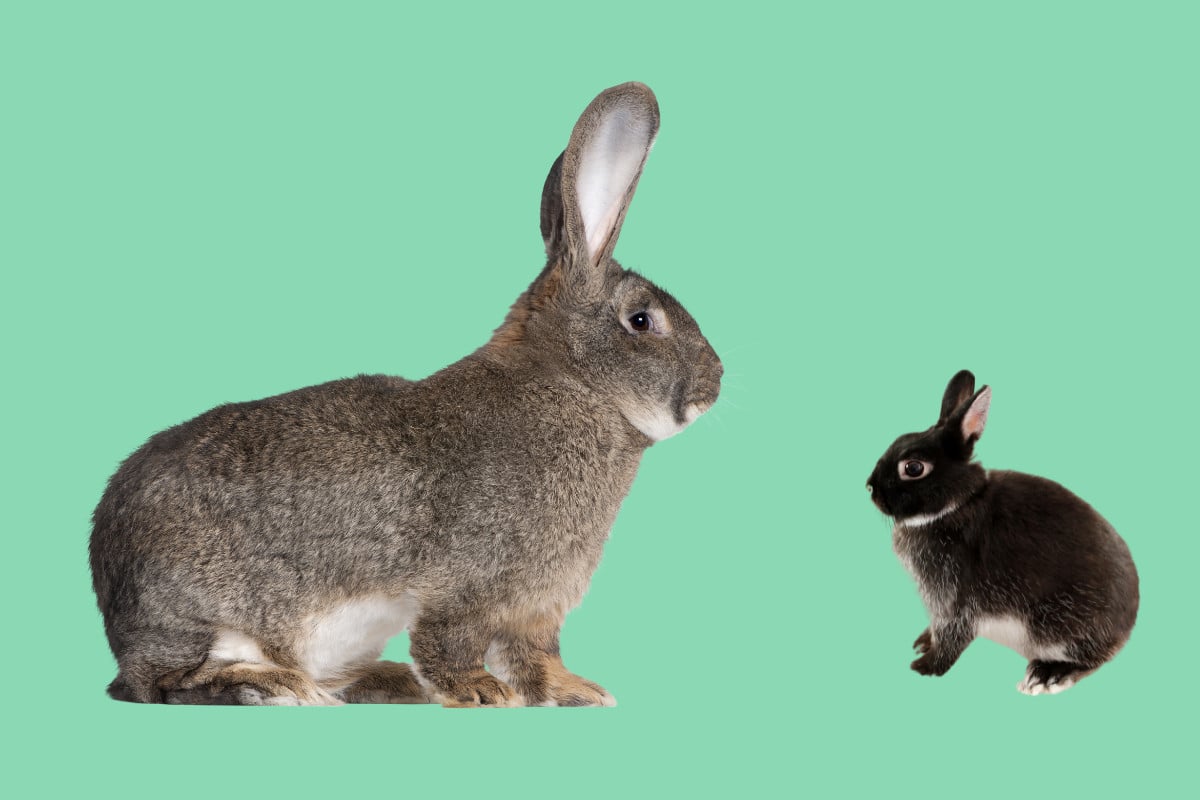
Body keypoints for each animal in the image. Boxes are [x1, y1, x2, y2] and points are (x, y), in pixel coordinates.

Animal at [90, 82, 723, 707]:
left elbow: (538, 655)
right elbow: (454, 638)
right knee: (166, 683)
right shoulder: (471, 582)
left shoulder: (536, 607)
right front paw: (479, 692)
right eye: (641, 321)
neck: (572, 383)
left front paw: (578, 691)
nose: (714, 381)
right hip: (203, 616)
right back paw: (271, 685)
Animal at [866, 370, 1137, 695]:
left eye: (914, 467)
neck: (957, 504)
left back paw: (1047, 676)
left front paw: (925, 668)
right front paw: (922, 643)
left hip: (1057, 626)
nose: (869, 487)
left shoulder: (955, 599)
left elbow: (952, 637)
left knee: (1089, 660)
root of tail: (1127, 626)